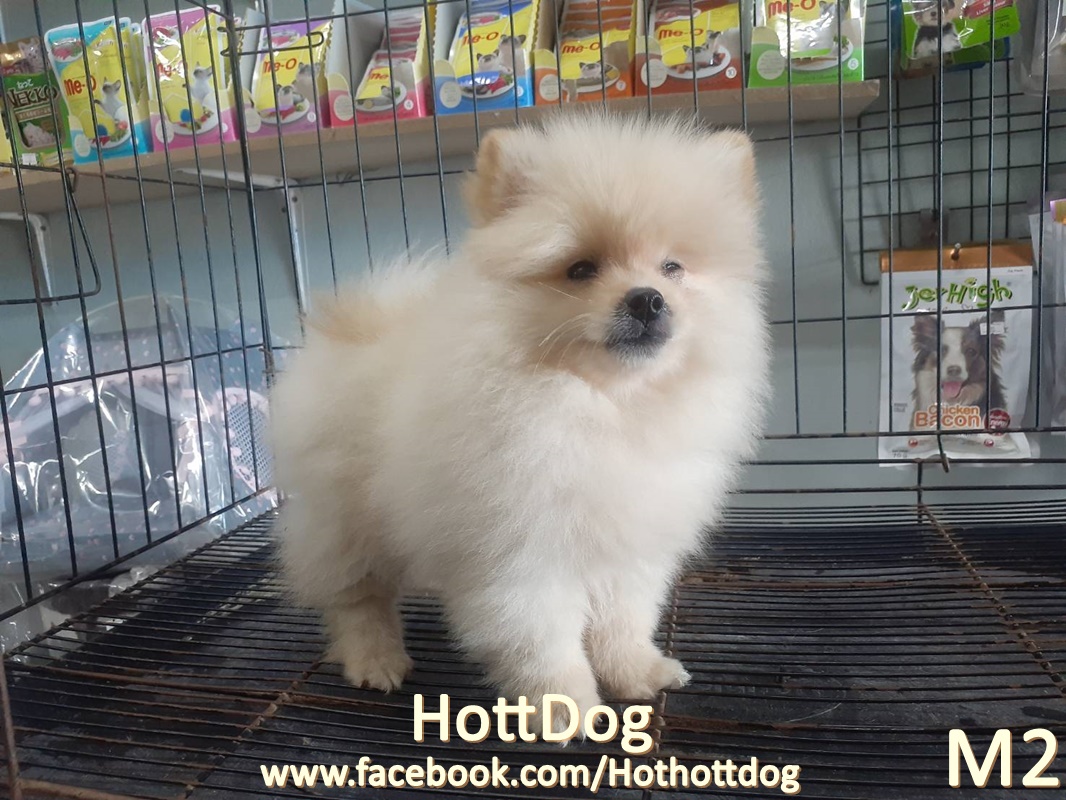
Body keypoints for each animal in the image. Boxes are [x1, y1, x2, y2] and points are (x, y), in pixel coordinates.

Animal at [271, 113, 770, 736]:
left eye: (673, 267)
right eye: (580, 269)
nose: (648, 299)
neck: (603, 407)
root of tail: (361, 322)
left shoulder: (628, 546)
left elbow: (623, 622)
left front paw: (635, 673)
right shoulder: (523, 555)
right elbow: (543, 640)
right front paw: (564, 705)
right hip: (346, 520)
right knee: (356, 600)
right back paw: (375, 659)